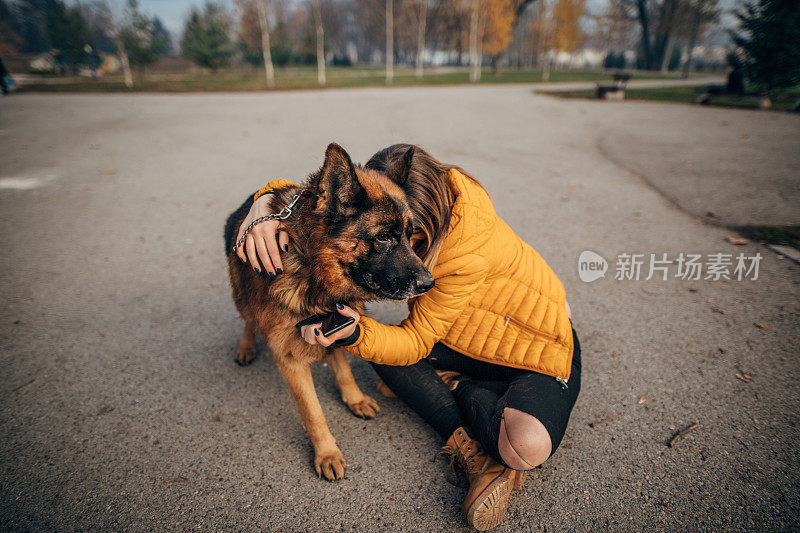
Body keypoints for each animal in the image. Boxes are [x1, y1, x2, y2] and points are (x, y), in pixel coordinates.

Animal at [222, 143, 434, 480]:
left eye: (410, 233)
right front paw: (327, 453)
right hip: (242, 295)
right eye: (383, 237)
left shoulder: (336, 322)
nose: (429, 283)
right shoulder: (291, 359)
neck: (311, 266)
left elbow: (342, 367)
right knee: (248, 320)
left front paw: (354, 398)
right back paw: (246, 347)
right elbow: (313, 412)